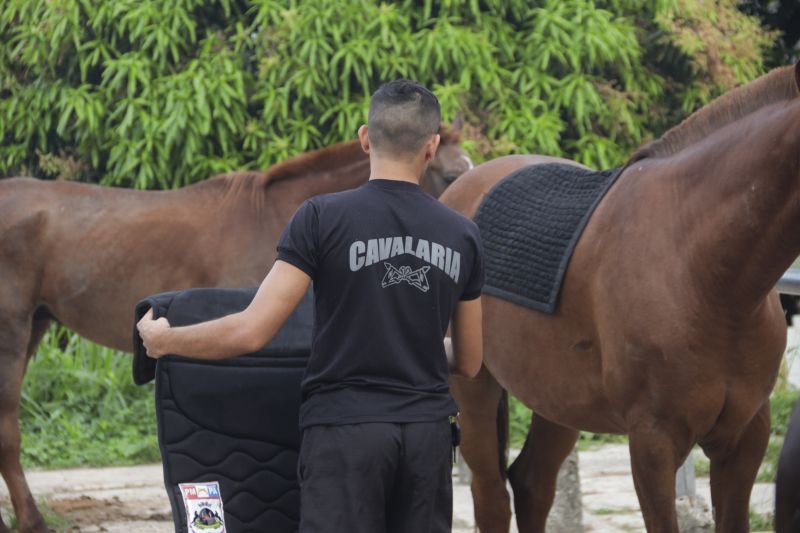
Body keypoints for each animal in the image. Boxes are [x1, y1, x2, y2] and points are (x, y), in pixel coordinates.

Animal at [446, 64, 796, 528]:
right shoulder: (653, 441)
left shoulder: (745, 439)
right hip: (474, 390)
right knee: (491, 498)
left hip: (558, 397)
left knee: (531, 483)